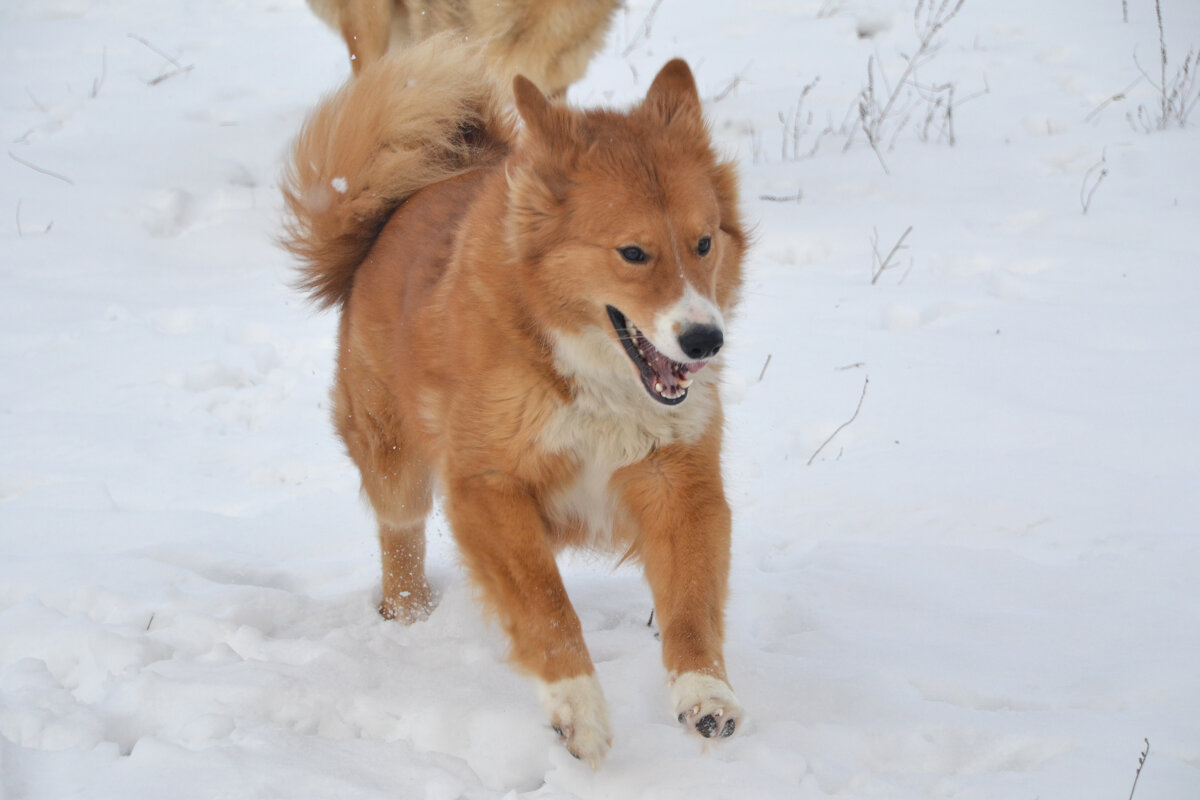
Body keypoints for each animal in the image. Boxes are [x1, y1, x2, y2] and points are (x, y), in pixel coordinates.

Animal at [284, 38, 744, 767]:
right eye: (632, 253)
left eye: (704, 242)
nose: (705, 339)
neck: (593, 374)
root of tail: (395, 210)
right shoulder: (488, 485)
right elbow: (546, 607)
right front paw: (578, 709)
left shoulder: (680, 483)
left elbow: (693, 603)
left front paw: (705, 694)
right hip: (393, 455)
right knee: (400, 535)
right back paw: (411, 622)